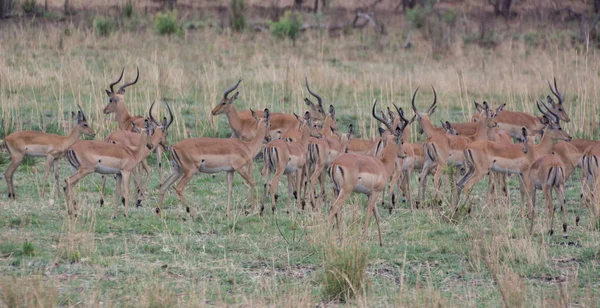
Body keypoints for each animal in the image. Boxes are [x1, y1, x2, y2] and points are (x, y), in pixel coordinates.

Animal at [328, 100, 408, 247]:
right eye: (401, 141)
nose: (404, 155)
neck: (382, 164)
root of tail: (335, 163)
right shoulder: (375, 193)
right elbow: (369, 214)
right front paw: (363, 240)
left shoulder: (369, 194)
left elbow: (377, 215)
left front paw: (381, 242)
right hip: (345, 191)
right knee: (334, 208)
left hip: (335, 189)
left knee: (336, 210)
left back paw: (340, 239)